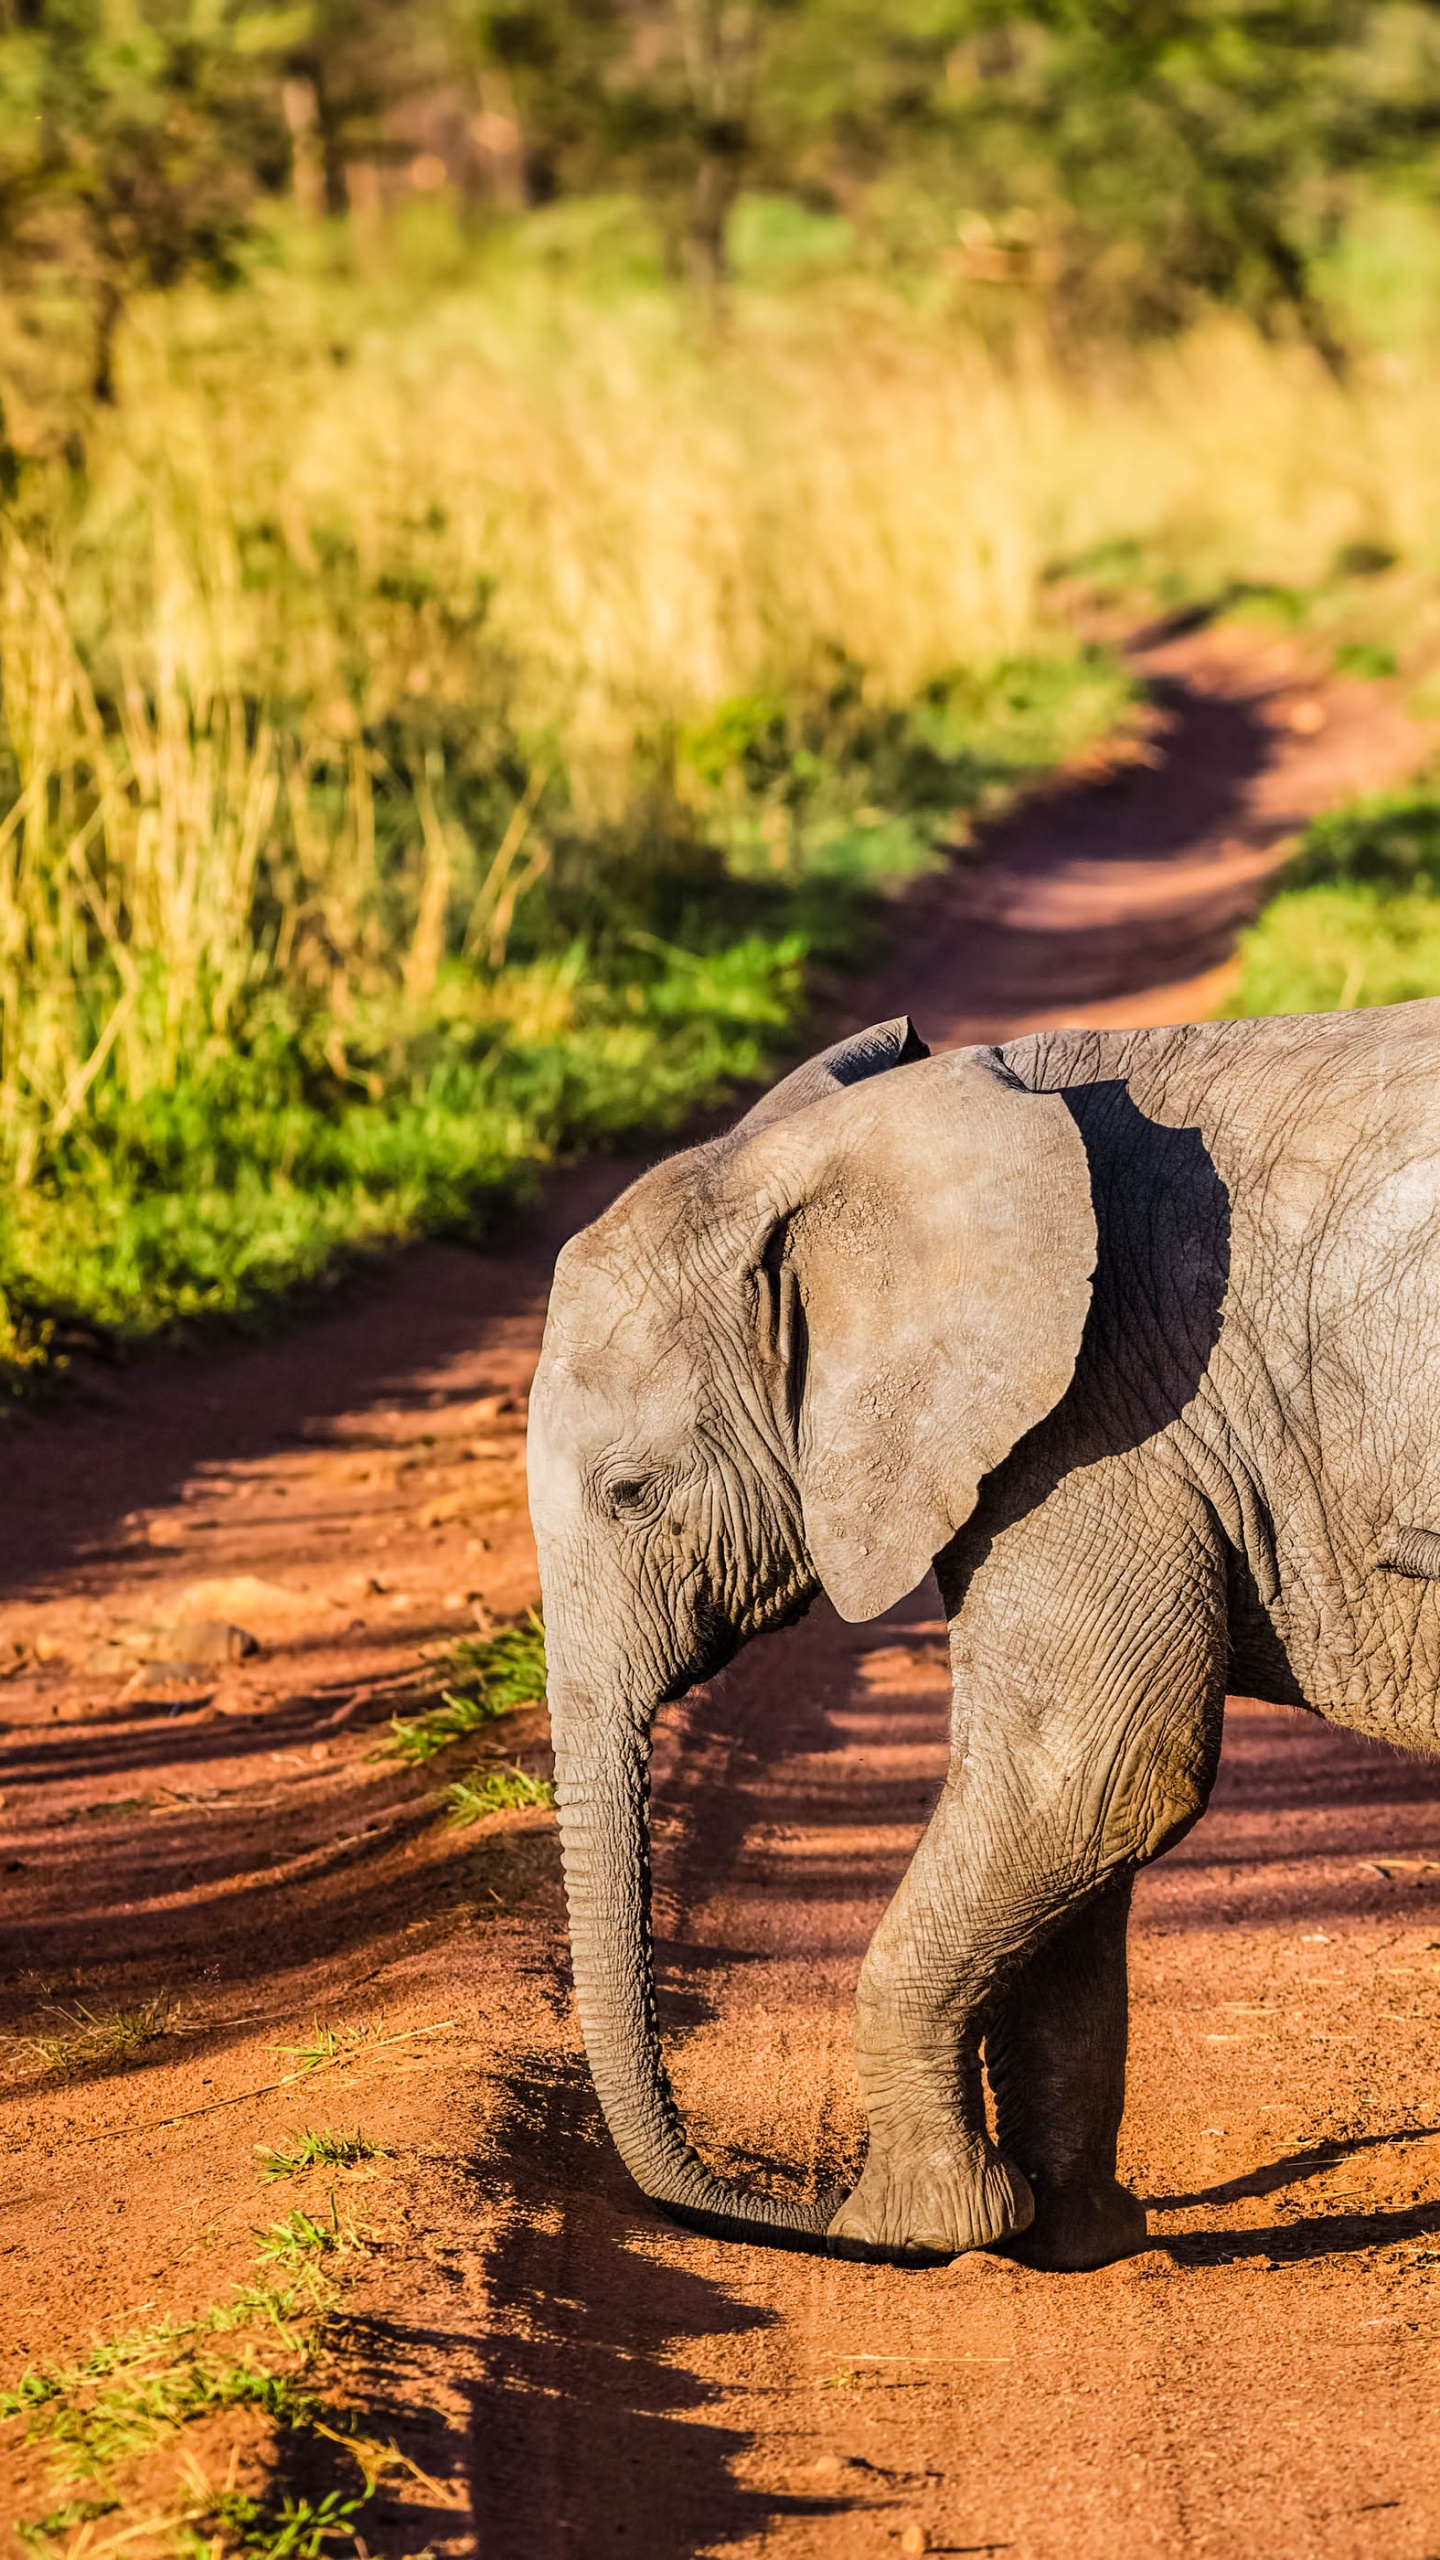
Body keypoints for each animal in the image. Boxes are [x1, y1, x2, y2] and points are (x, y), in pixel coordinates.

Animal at [526, 998, 1440, 2271]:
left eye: (629, 1494)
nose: (799, 2212)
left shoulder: (1101, 1419)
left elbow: (1095, 1769)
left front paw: (912, 2227)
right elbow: (1078, 1827)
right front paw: (1066, 2241)